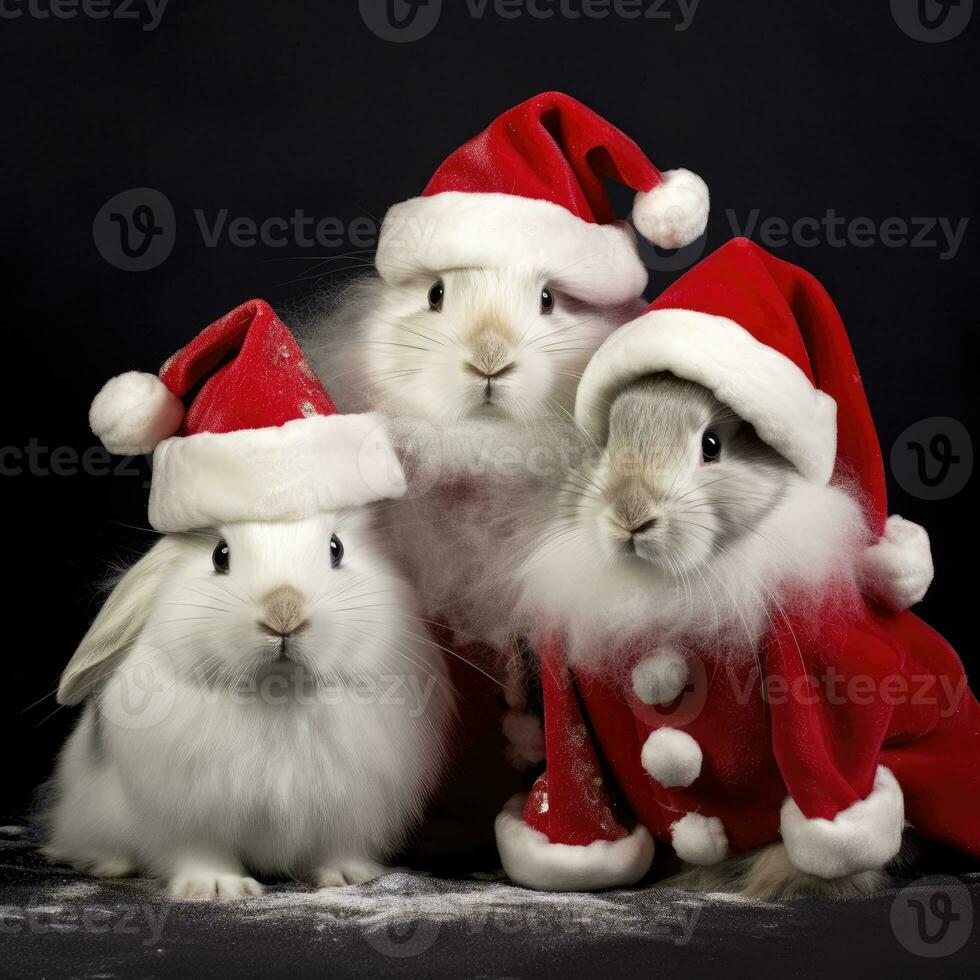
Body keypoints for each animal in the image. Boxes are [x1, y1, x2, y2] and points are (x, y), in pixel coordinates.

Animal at [38, 510, 452, 900]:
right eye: (220, 555)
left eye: (336, 548)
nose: (284, 612)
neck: (279, 694)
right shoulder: (191, 816)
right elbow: (202, 853)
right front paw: (218, 889)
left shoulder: (348, 811)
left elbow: (336, 848)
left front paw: (347, 878)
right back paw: (106, 865)